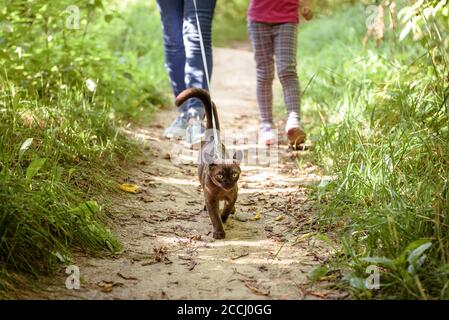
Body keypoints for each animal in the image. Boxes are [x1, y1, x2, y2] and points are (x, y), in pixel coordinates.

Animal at [175, 89, 242, 239]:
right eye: (220, 176)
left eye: (234, 174)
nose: (228, 182)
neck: (222, 191)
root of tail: (212, 138)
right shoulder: (211, 200)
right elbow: (214, 217)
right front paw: (219, 232)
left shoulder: (233, 196)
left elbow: (227, 209)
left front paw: (224, 217)